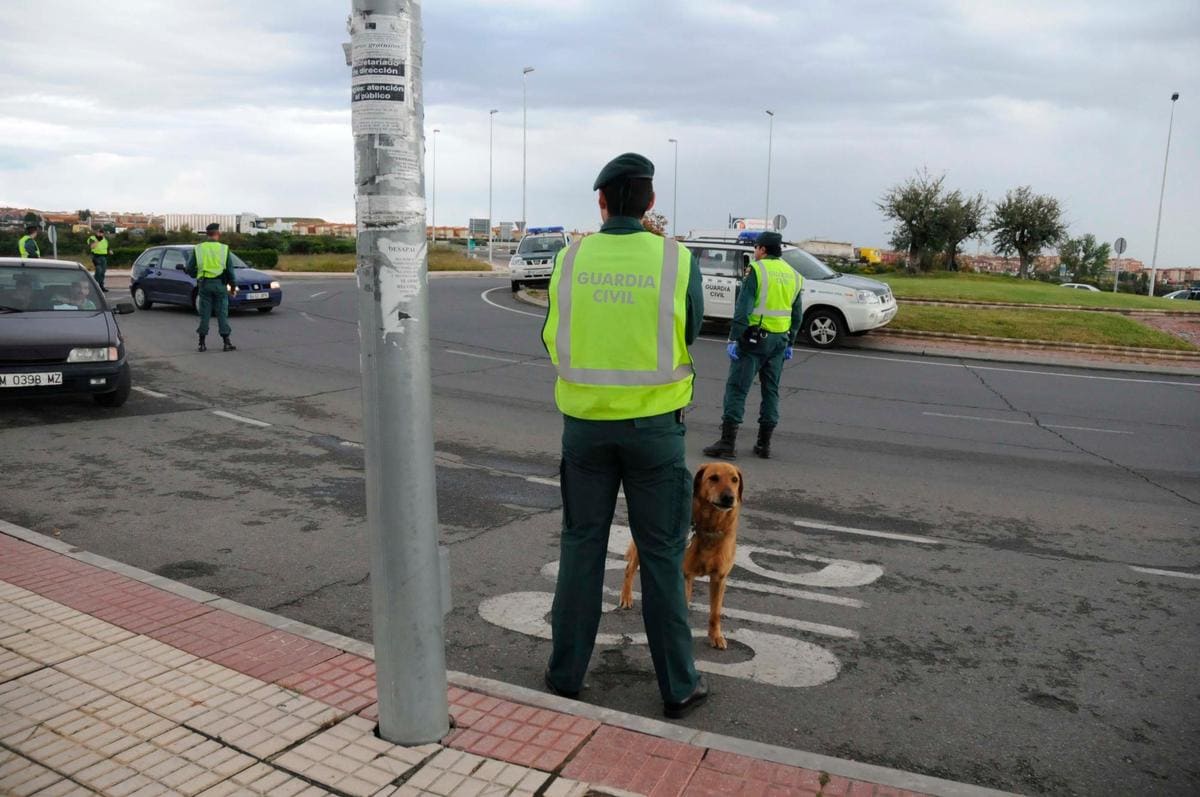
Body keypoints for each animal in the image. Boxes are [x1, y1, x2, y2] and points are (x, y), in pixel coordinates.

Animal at [619, 460, 739, 648]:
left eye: (735, 480)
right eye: (713, 478)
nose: (729, 498)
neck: (709, 528)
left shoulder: (719, 578)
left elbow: (715, 612)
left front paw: (715, 636)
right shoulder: (684, 575)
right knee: (629, 569)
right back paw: (626, 597)